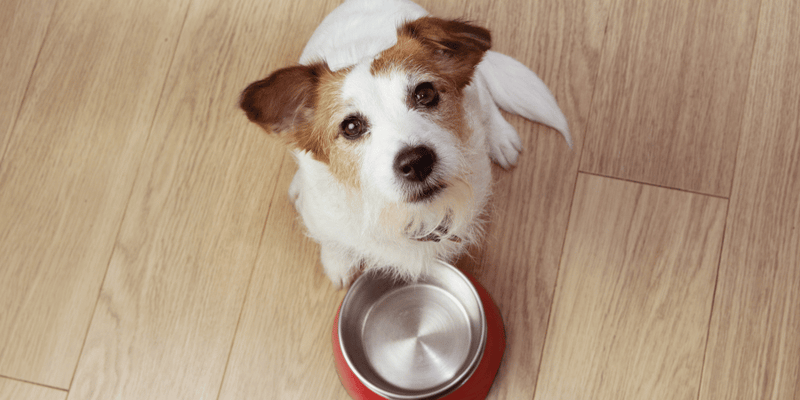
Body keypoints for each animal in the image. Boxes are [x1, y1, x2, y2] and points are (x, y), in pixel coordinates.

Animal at [241, 0, 572, 288]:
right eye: (351, 127)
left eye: (425, 93)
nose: (416, 162)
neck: (402, 215)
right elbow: (332, 239)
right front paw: (337, 262)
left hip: (475, 88)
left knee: (486, 96)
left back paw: (501, 137)